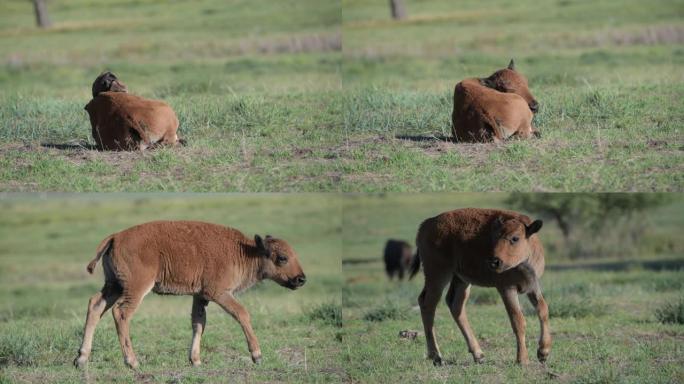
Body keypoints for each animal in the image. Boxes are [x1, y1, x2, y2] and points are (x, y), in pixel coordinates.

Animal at [73, 220, 306, 370]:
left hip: (114, 286)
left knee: (95, 305)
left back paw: (81, 359)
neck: (245, 252)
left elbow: (198, 323)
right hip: (135, 288)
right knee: (121, 313)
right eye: (282, 258)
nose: (301, 279)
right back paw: (132, 362)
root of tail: (115, 237)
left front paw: (195, 360)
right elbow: (242, 314)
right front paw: (257, 355)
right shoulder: (219, 293)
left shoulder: (200, 296)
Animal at [412, 208, 552, 364]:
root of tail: (425, 225)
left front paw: (543, 352)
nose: (494, 262)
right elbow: (518, 320)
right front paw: (522, 359)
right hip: (438, 275)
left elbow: (543, 310)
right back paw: (436, 356)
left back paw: (478, 354)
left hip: (461, 279)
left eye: (515, 238)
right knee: (428, 304)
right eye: (495, 237)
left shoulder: (533, 286)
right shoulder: (507, 288)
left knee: (455, 305)